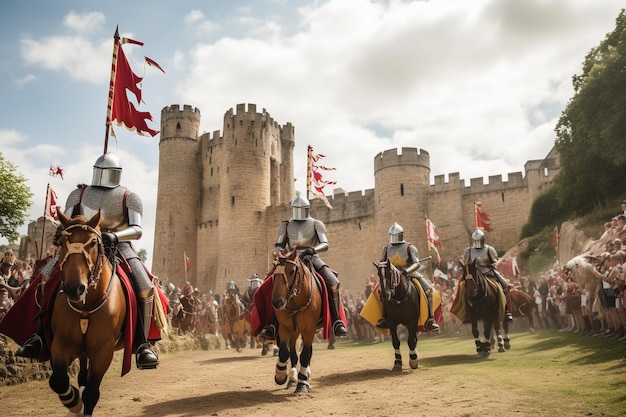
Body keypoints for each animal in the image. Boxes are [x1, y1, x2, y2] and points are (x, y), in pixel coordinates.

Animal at [49, 213, 127, 414]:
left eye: (93, 242)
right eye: (61, 242)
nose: (74, 288)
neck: (86, 306)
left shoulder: (103, 351)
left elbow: (92, 394)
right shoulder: (61, 343)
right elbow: (58, 380)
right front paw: (74, 402)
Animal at [270, 249, 322, 394]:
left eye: (292, 270)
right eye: (274, 271)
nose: (277, 302)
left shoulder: (309, 330)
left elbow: (305, 354)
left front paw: (302, 385)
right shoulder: (285, 328)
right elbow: (285, 352)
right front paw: (280, 376)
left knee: (307, 352)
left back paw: (304, 377)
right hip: (295, 332)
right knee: (293, 353)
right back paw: (293, 378)